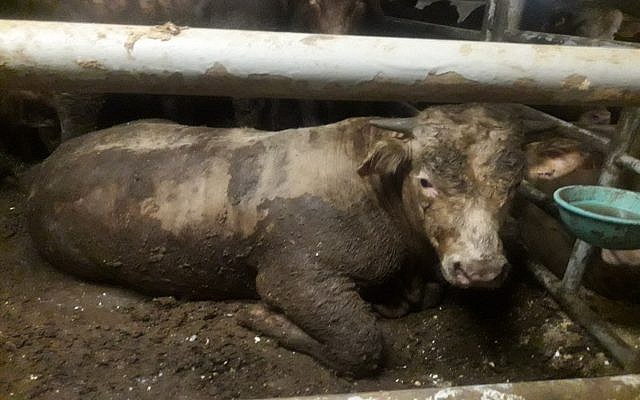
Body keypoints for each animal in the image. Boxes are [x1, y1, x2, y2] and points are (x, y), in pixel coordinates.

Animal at [26, 104, 525, 375]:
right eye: (425, 181)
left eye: (514, 186)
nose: (482, 269)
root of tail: (49, 165)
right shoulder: (295, 274)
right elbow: (359, 342)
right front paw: (259, 317)